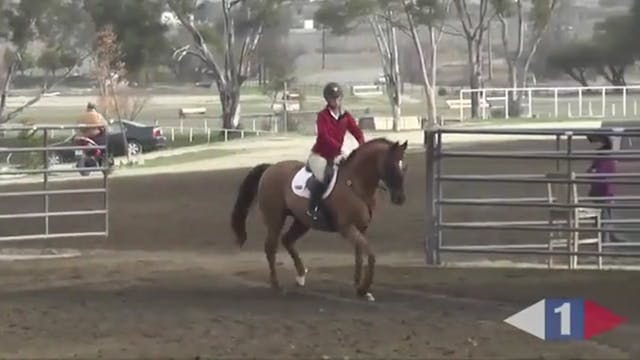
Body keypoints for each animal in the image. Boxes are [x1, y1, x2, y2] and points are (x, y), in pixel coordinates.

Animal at [232, 138, 408, 300]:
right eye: (392, 166)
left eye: (404, 166)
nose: (400, 199)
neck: (355, 183)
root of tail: (270, 168)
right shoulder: (347, 228)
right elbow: (370, 255)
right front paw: (363, 289)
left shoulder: (361, 227)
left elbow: (359, 255)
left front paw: (358, 284)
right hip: (275, 219)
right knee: (270, 247)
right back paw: (277, 285)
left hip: (301, 221)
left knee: (287, 240)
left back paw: (301, 276)